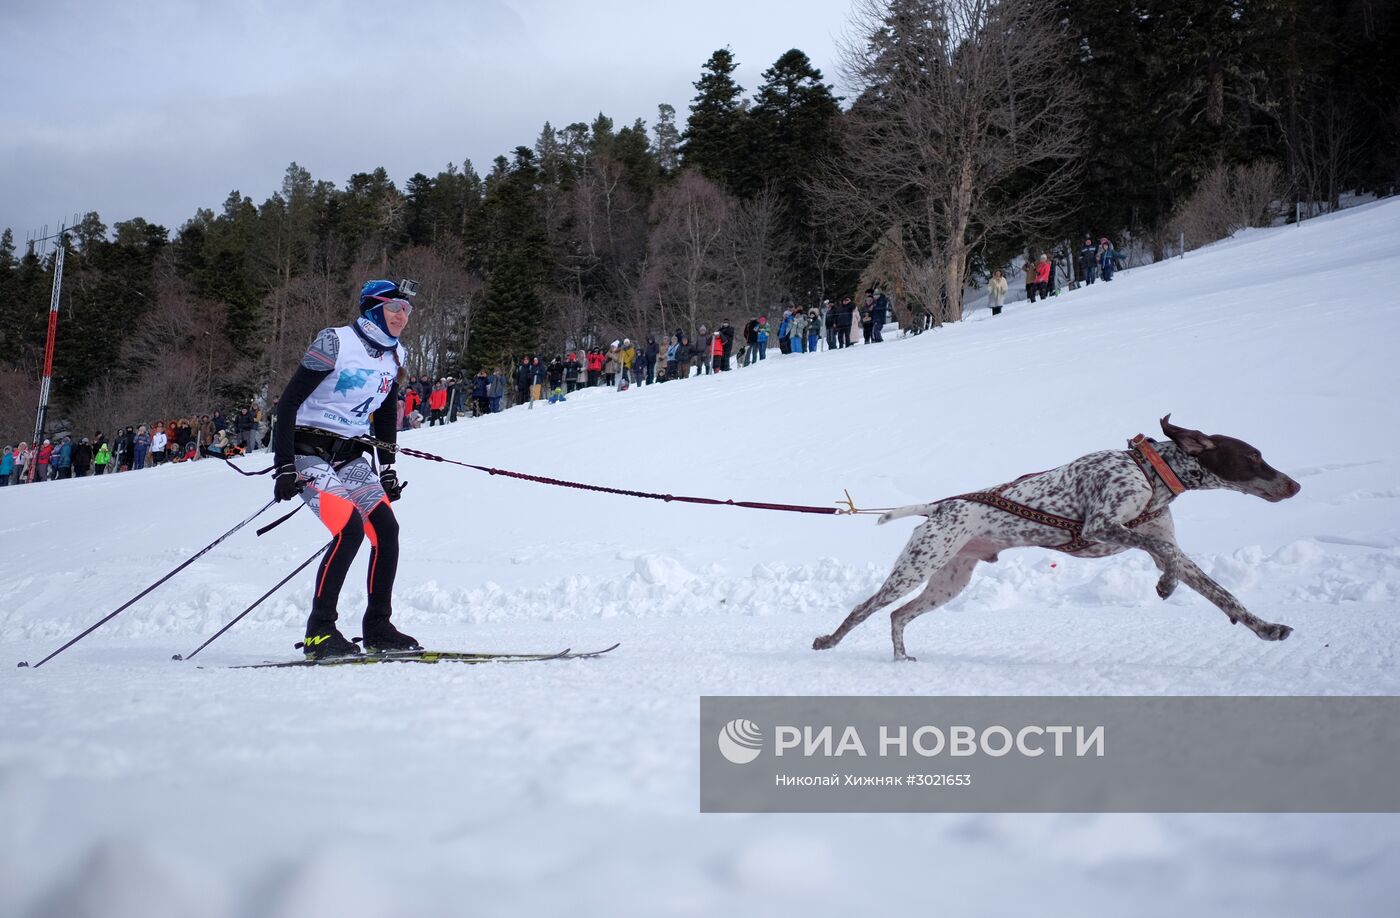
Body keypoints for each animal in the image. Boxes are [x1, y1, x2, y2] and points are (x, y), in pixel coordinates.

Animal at [812, 417, 1299, 660]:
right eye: (1254, 457)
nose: (1295, 486)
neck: (1149, 474)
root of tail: (939, 507)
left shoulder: (1164, 544)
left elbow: (1221, 593)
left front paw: (1266, 628)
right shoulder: (1100, 526)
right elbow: (1160, 551)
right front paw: (1164, 582)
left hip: (948, 582)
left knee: (898, 616)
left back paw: (900, 658)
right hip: (915, 569)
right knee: (864, 609)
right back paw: (830, 641)